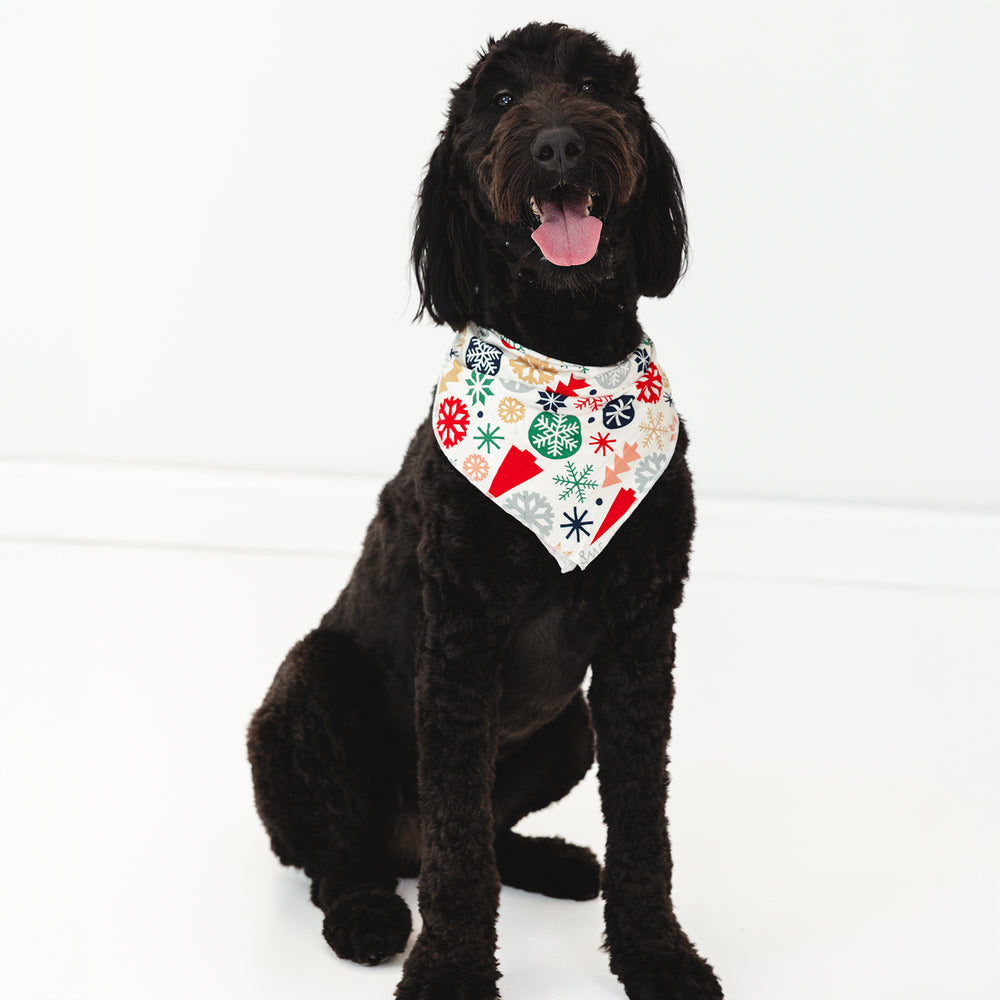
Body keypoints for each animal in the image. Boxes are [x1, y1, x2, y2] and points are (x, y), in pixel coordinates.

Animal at [247, 23, 724, 1000]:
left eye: (595, 86)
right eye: (499, 102)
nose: (559, 146)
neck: (567, 358)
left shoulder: (642, 634)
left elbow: (643, 822)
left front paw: (658, 954)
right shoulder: (461, 639)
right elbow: (458, 845)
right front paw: (450, 969)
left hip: (570, 726)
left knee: (483, 836)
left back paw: (553, 862)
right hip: (308, 689)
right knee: (338, 858)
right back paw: (368, 914)